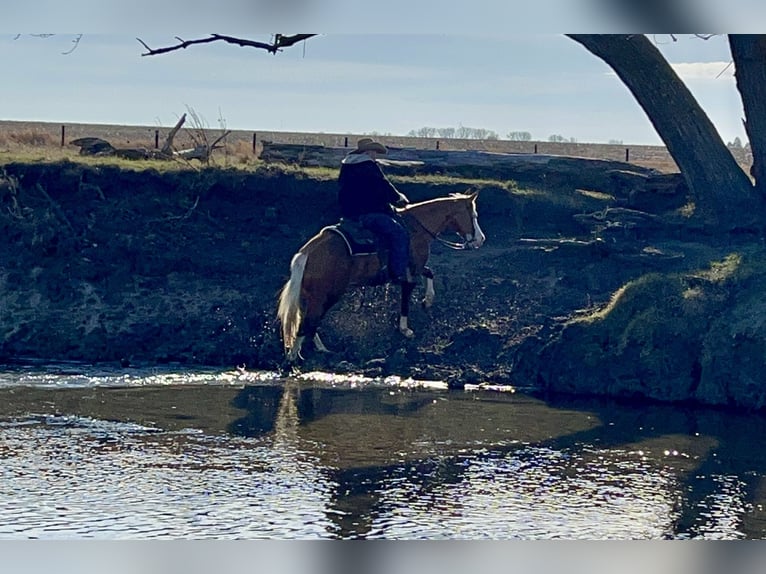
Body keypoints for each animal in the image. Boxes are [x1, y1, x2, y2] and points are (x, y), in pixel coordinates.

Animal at [278, 196, 486, 362]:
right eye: (473, 215)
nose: (481, 239)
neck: (416, 229)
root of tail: (306, 254)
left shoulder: (415, 268)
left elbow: (430, 273)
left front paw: (427, 301)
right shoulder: (411, 271)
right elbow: (408, 294)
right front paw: (405, 329)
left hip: (314, 297)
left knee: (310, 322)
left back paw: (320, 349)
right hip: (329, 295)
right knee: (308, 324)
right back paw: (294, 357)